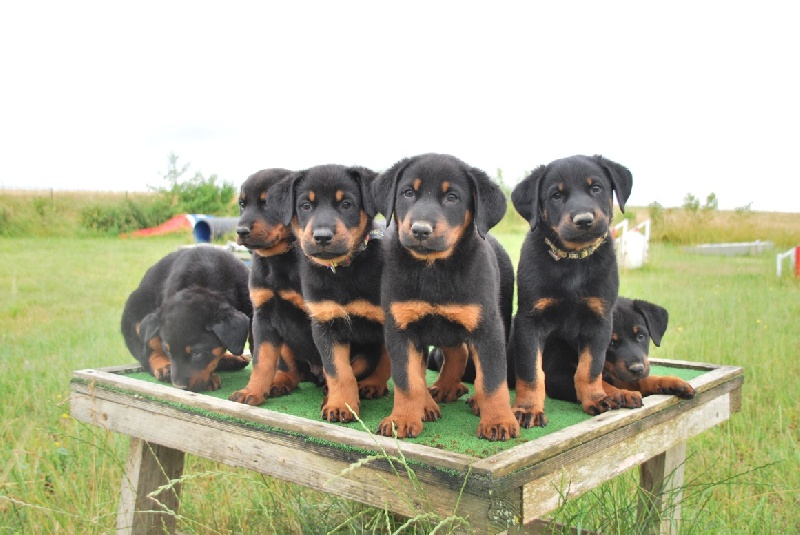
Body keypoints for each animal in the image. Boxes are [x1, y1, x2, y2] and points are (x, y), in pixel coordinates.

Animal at [120, 245, 252, 392]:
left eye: (197, 353)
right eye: (168, 351)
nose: (179, 387)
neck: (204, 284)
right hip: (136, 315)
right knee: (147, 351)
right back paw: (164, 366)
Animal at [227, 168, 324, 406]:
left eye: (268, 204)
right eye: (242, 204)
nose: (241, 230)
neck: (277, 259)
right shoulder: (263, 316)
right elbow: (262, 360)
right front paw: (252, 391)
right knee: (290, 369)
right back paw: (279, 382)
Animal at [268, 165, 390, 426]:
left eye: (346, 204)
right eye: (305, 205)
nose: (322, 236)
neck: (342, 271)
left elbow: (362, 365)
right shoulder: (326, 324)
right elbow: (338, 370)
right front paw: (340, 405)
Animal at [370, 153, 516, 442]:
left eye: (452, 198)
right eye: (408, 193)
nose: (420, 230)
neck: (433, 269)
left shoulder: (488, 329)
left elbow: (493, 378)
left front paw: (498, 421)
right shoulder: (402, 329)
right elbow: (408, 380)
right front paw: (402, 419)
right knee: (455, 352)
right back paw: (439, 393)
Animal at [512, 155, 632, 428]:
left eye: (596, 188)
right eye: (556, 195)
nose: (584, 220)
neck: (573, 260)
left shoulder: (599, 320)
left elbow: (590, 368)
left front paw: (596, 398)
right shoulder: (529, 321)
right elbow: (531, 371)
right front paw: (528, 408)